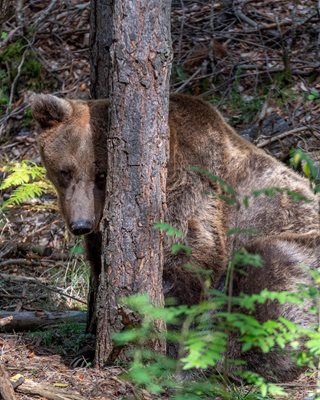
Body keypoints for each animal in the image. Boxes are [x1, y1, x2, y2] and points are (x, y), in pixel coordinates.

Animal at [31, 93, 318, 382]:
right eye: (65, 171)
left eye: (101, 174)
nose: (81, 224)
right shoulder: (100, 239)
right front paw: (87, 350)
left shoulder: (191, 199)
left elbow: (185, 270)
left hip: (295, 243)